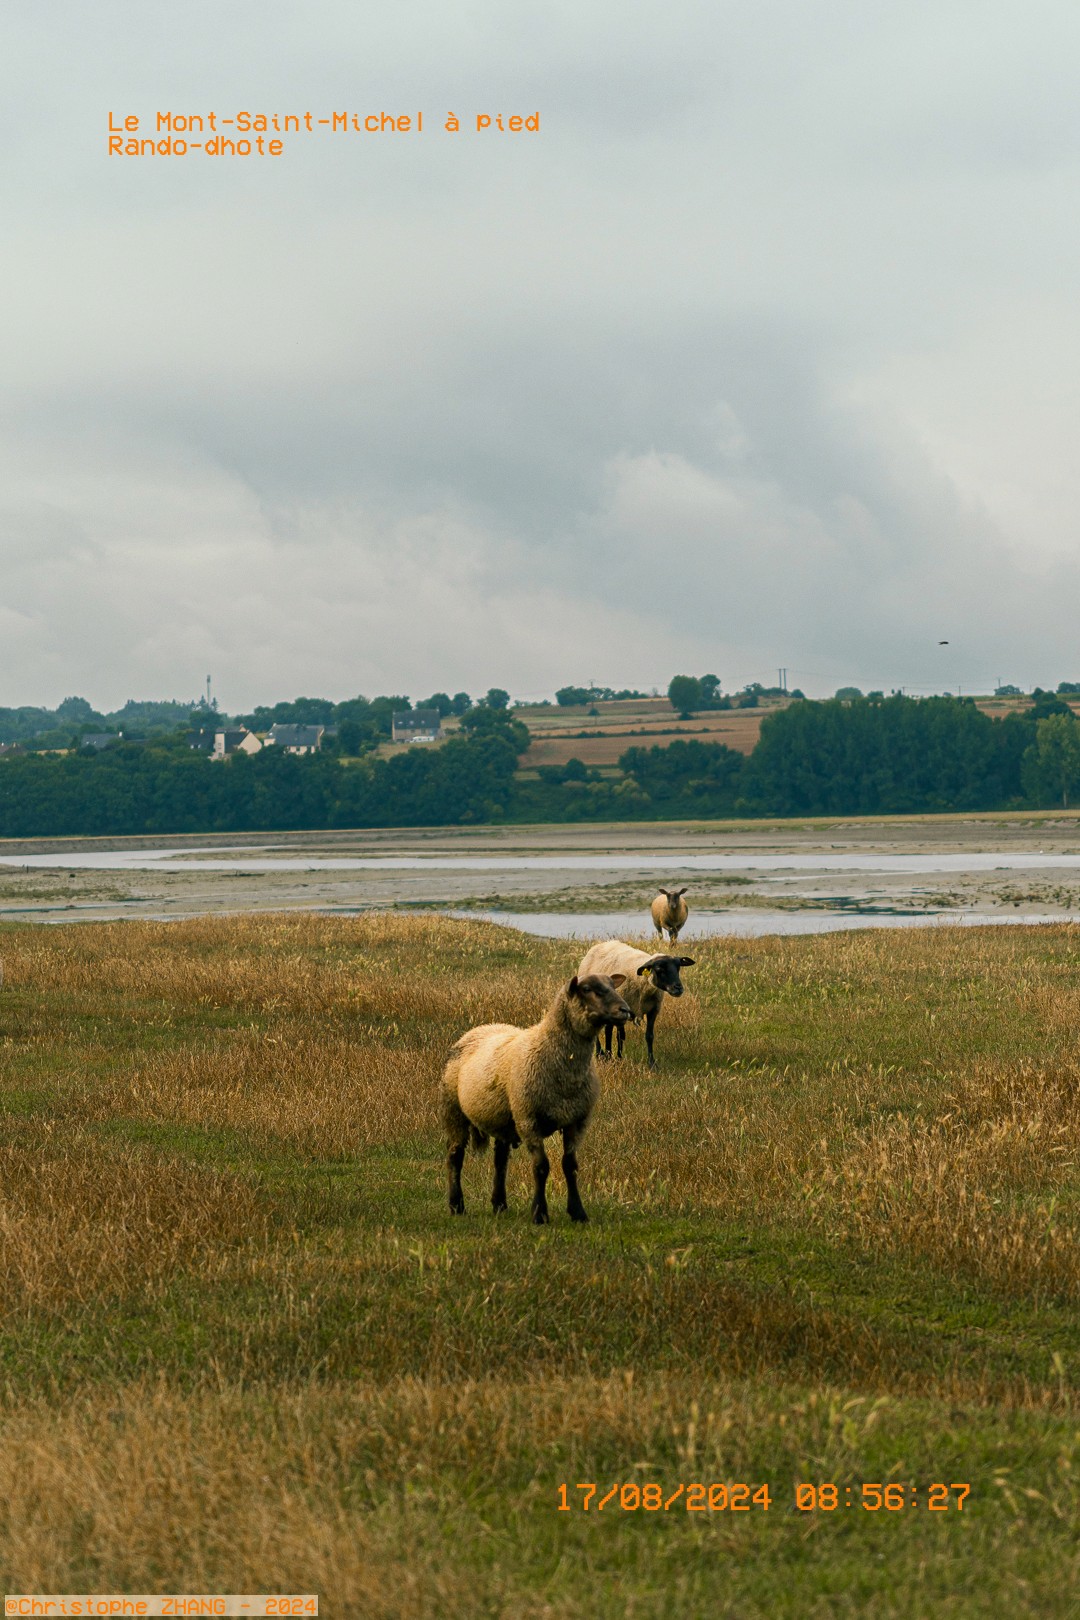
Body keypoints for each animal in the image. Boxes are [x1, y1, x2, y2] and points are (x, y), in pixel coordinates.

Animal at [440, 973, 631, 1223]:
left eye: (612, 985)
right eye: (588, 989)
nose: (626, 1010)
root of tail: (480, 1028)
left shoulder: (576, 1121)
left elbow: (570, 1166)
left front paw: (578, 1212)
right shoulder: (529, 1120)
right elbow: (541, 1167)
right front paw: (539, 1213)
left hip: (504, 1119)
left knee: (500, 1160)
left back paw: (499, 1204)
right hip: (454, 1110)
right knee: (455, 1155)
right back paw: (456, 1205)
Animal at [577, 939, 695, 1068]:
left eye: (678, 967)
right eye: (659, 969)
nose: (678, 988)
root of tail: (600, 944)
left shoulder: (653, 1010)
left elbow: (648, 1036)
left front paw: (651, 1063)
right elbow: (610, 1033)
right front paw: (609, 1058)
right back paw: (600, 1054)